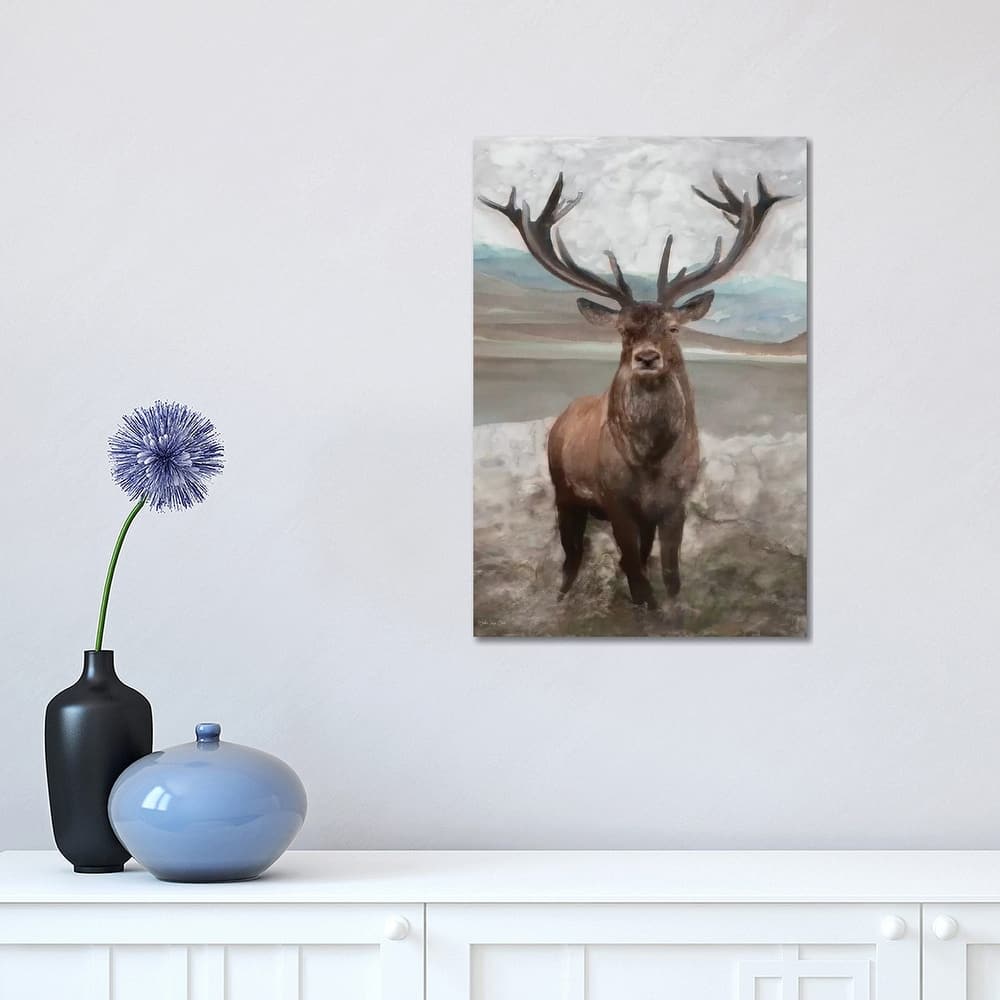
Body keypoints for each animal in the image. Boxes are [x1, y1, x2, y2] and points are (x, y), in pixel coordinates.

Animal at [479, 170, 791, 609]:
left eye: (673, 328)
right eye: (624, 330)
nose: (646, 357)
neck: (651, 462)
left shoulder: (676, 503)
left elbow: (669, 572)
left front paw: (672, 604)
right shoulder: (616, 502)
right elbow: (638, 580)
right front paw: (643, 604)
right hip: (563, 490)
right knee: (572, 553)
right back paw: (562, 594)